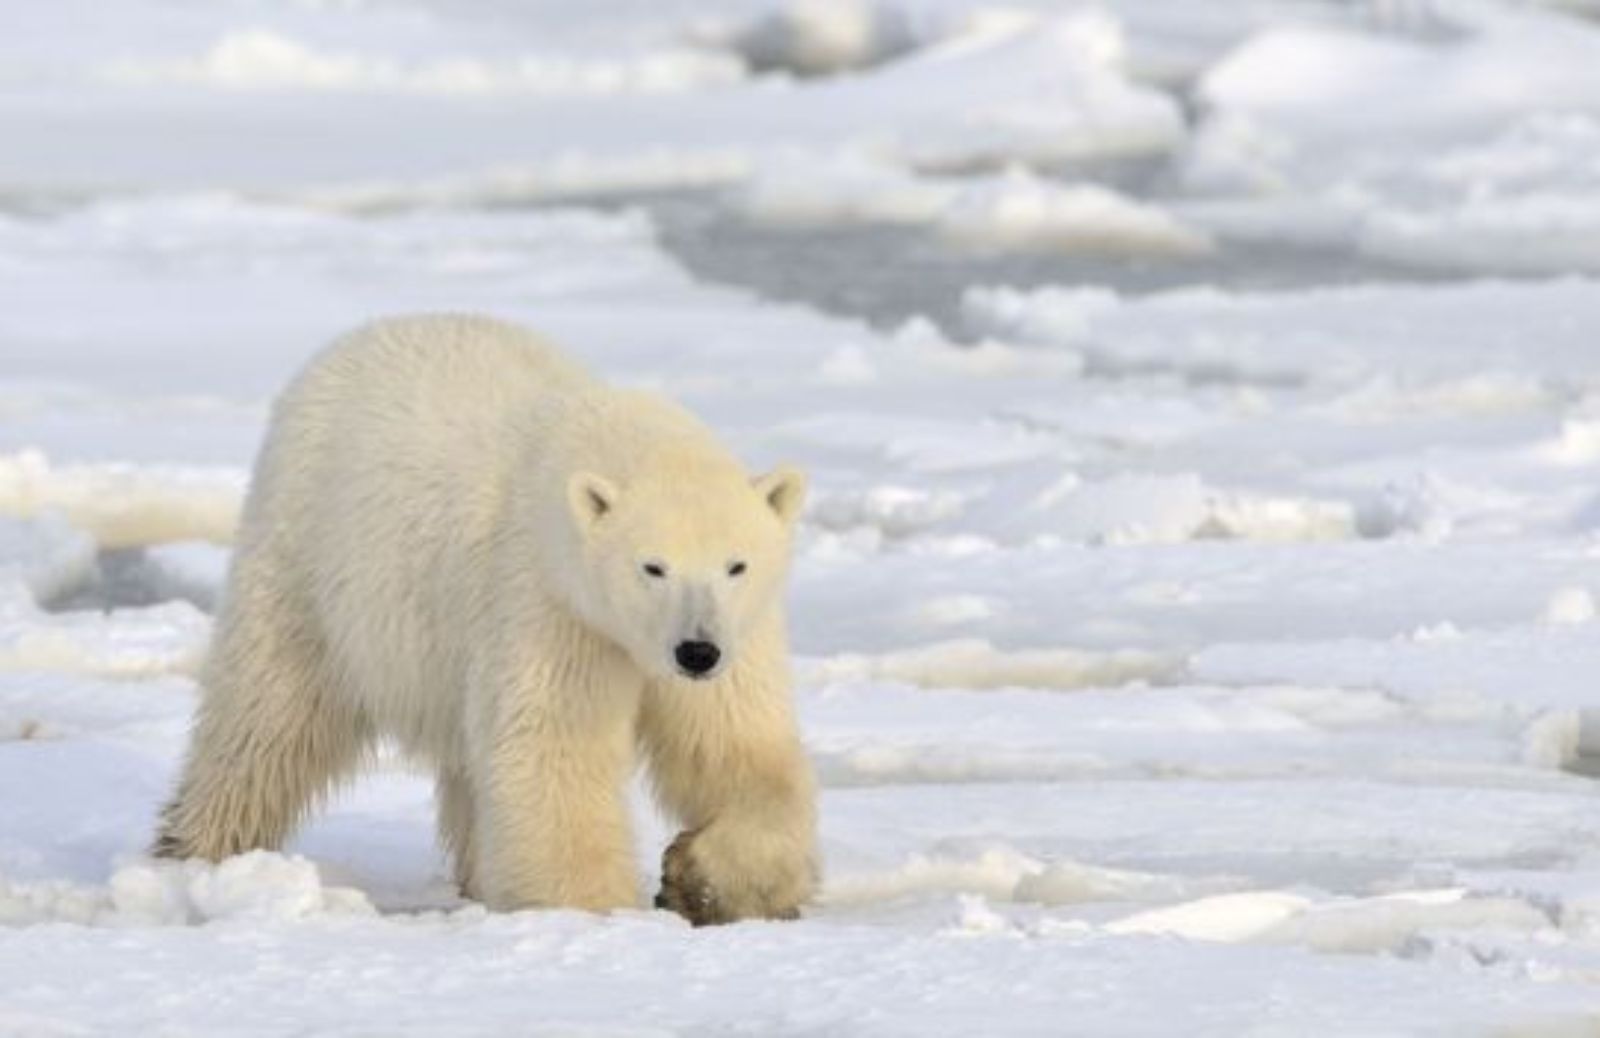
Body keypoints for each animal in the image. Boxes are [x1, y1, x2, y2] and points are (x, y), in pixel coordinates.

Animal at [156, 311, 819, 921]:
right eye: (652, 567)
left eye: (736, 565)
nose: (696, 652)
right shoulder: (548, 605)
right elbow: (553, 753)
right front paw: (598, 913)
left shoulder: (739, 632)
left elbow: (739, 748)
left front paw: (699, 880)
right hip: (307, 559)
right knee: (266, 720)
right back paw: (196, 852)